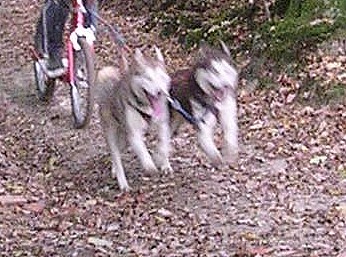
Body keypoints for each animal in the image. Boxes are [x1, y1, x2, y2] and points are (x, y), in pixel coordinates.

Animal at [96, 47, 172, 190]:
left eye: (161, 77)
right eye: (148, 78)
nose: (159, 92)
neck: (147, 108)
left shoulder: (163, 124)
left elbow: (164, 144)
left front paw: (164, 162)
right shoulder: (134, 134)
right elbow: (143, 152)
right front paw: (150, 166)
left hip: (124, 138)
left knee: (118, 151)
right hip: (112, 131)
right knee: (116, 155)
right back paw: (122, 182)